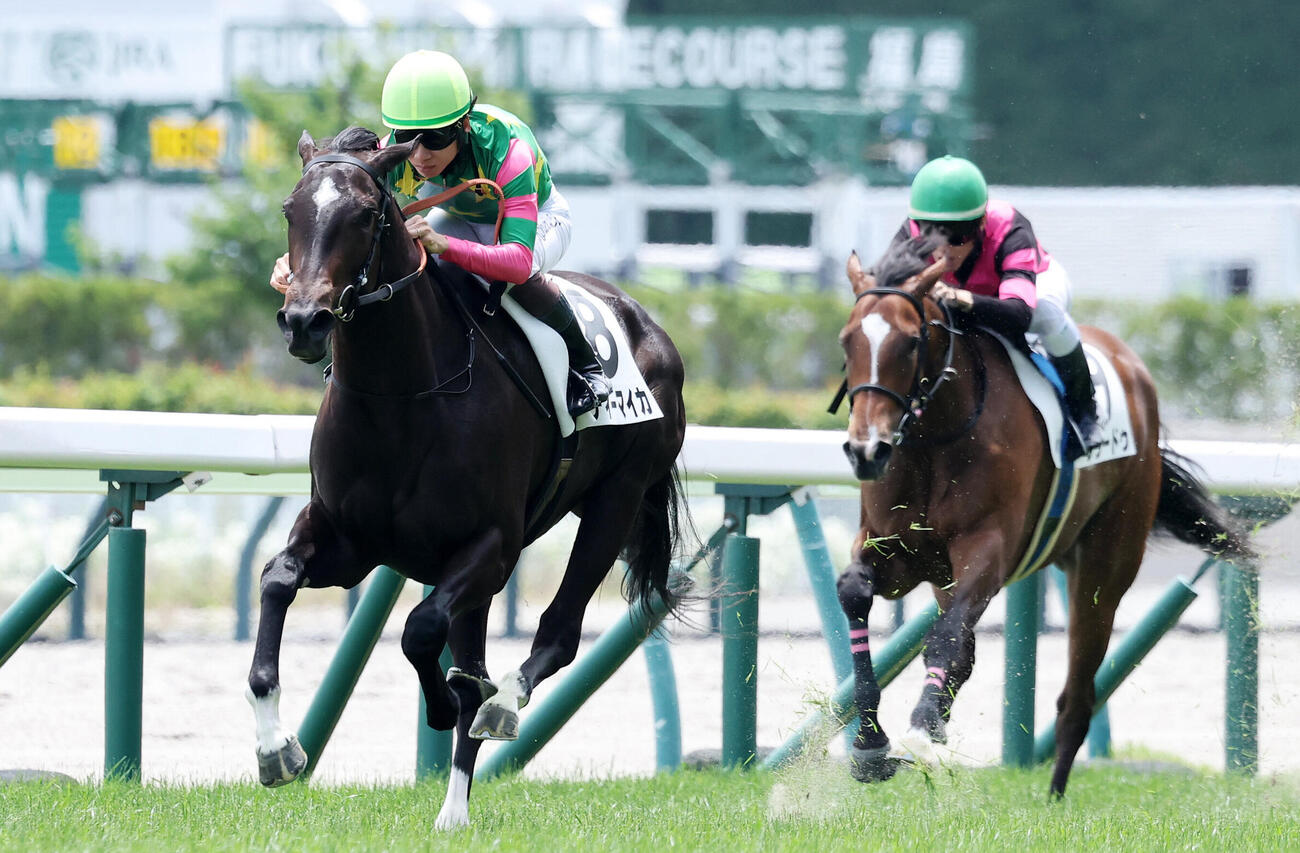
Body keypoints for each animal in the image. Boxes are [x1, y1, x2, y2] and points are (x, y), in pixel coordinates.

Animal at [248, 127, 687, 828]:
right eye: (292, 210)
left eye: (365, 215)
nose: (303, 321)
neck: (401, 398)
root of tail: (650, 328)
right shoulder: (348, 542)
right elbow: (278, 579)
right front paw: (275, 750)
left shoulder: (491, 547)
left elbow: (422, 631)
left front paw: (449, 702)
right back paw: (453, 810)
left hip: (616, 499)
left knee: (556, 634)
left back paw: (499, 707)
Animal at [832, 237, 1252, 796]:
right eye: (847, 341)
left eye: (909, 342)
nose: (867, 451)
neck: (934, 438)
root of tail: (1131, 366)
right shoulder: (895, 550)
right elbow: (856, 594)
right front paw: (870, 745)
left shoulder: (988, 550)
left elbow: (945, 638)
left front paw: (920, 729)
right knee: (967, 652)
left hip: (1105, 566)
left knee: (1077, 690)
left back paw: (1053, 793)